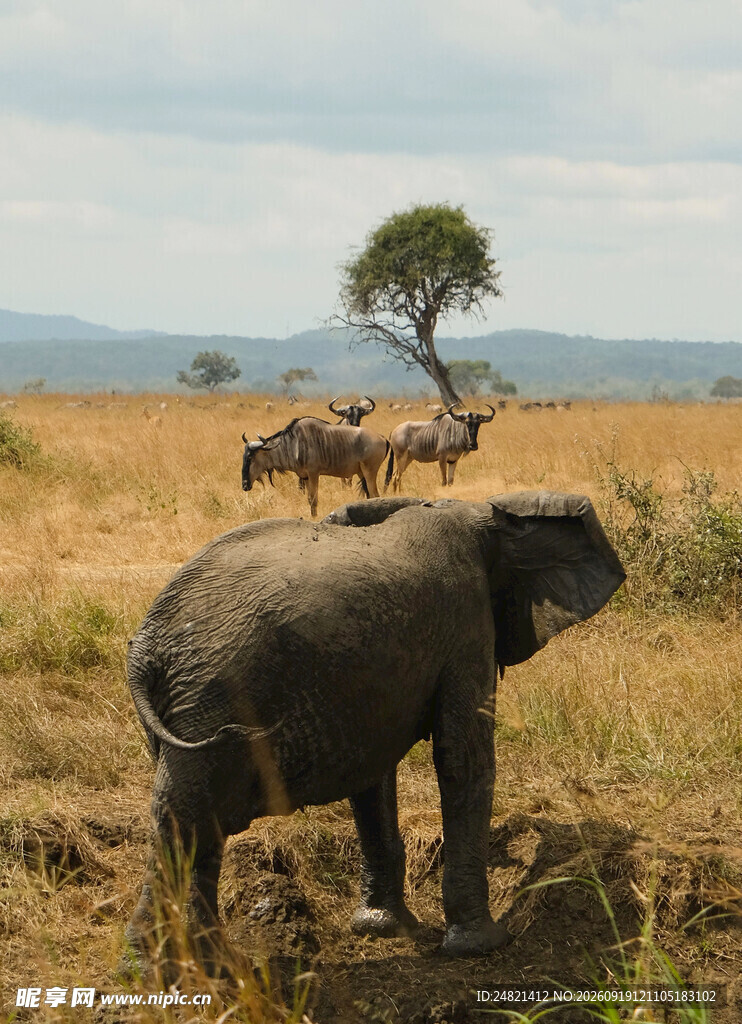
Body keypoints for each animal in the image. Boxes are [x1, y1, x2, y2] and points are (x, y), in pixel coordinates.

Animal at [124, 491, 625, 968]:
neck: (481, 513)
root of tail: (145, 647)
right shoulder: (466, 621)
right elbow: (461, 757)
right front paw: (482, 946)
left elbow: (372, 777)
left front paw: (381, 928)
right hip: (215, 695)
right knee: (185, 815)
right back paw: (155, 966)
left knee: (191, 823)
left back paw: (214, 965)